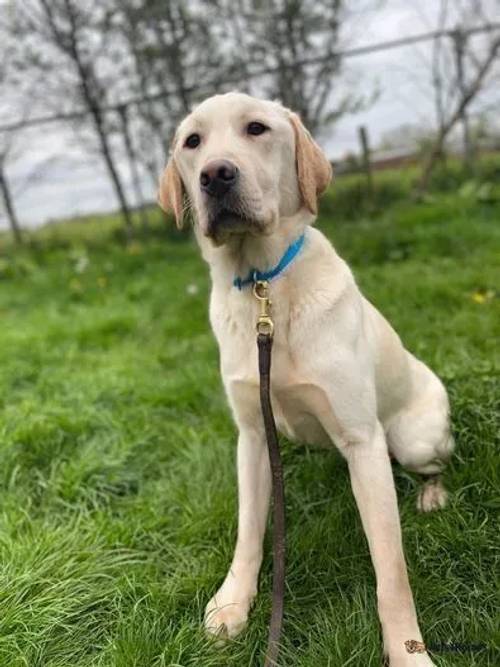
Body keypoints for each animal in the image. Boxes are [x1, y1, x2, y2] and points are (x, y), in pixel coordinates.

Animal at [159, 94, 454, 667]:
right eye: (192, 142)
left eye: (257, 128)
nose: (215, 176)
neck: (264, 287)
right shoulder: (253, 436)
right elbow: (250, 532)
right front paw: (233, 604)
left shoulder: (362, 439)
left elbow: (391, 571)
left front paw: (408, 651)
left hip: (414, 440)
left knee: (432, 466)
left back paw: (432, 496)